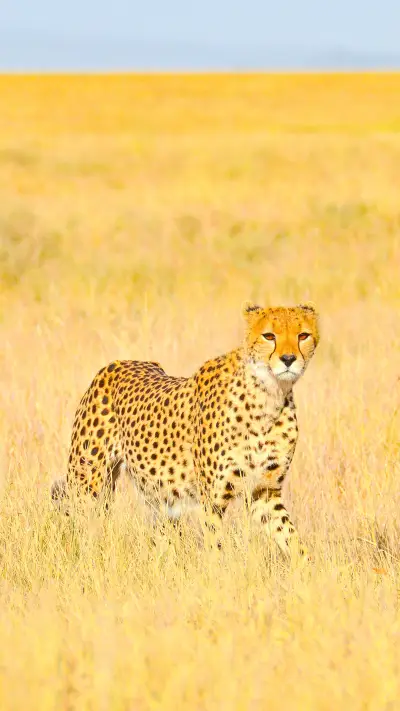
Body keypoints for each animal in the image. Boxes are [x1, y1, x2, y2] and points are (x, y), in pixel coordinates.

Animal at [52, 302, 319, 557]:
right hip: (86, 483)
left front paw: (306, 569)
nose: (288, 359)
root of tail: (117, 363)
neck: (269, 394)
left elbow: (291, 539)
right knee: (74, 523)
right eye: (269, 336)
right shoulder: (213, 500)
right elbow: (216, 549)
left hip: (161, 498)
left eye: (303, 335)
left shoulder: (264, 491)